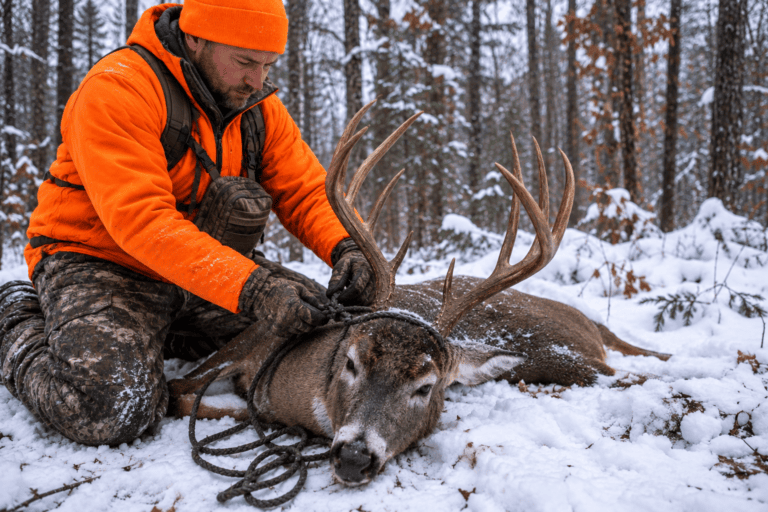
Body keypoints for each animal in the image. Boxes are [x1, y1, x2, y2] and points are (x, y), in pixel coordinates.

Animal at [168, 100, 670, 487]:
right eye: (351, 362)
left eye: (427, 386)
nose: (355, 458)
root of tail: (589, 320)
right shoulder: (251, 341)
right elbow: (178, 393)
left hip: (564, 358)